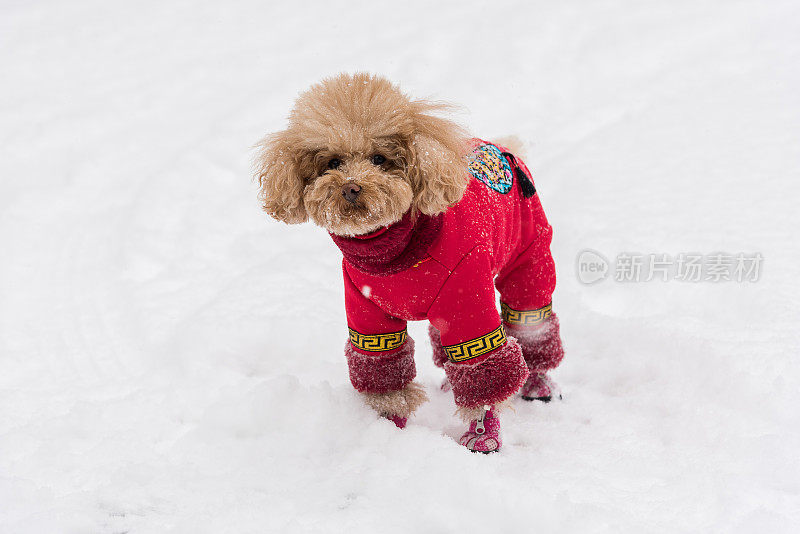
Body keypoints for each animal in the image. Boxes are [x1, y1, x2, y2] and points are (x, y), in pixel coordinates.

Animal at [255, 73, 564, 454]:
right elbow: (385, 369)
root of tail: (501, 148)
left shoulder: (467, 301)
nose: (351, 188)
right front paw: (390, 427)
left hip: (529, 257)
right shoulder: (368, 314)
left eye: (379, 158)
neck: (394, 254)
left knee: (532, 322)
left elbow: (482, 366)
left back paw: (538, 383)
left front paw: (483, 434)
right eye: (333, 163)